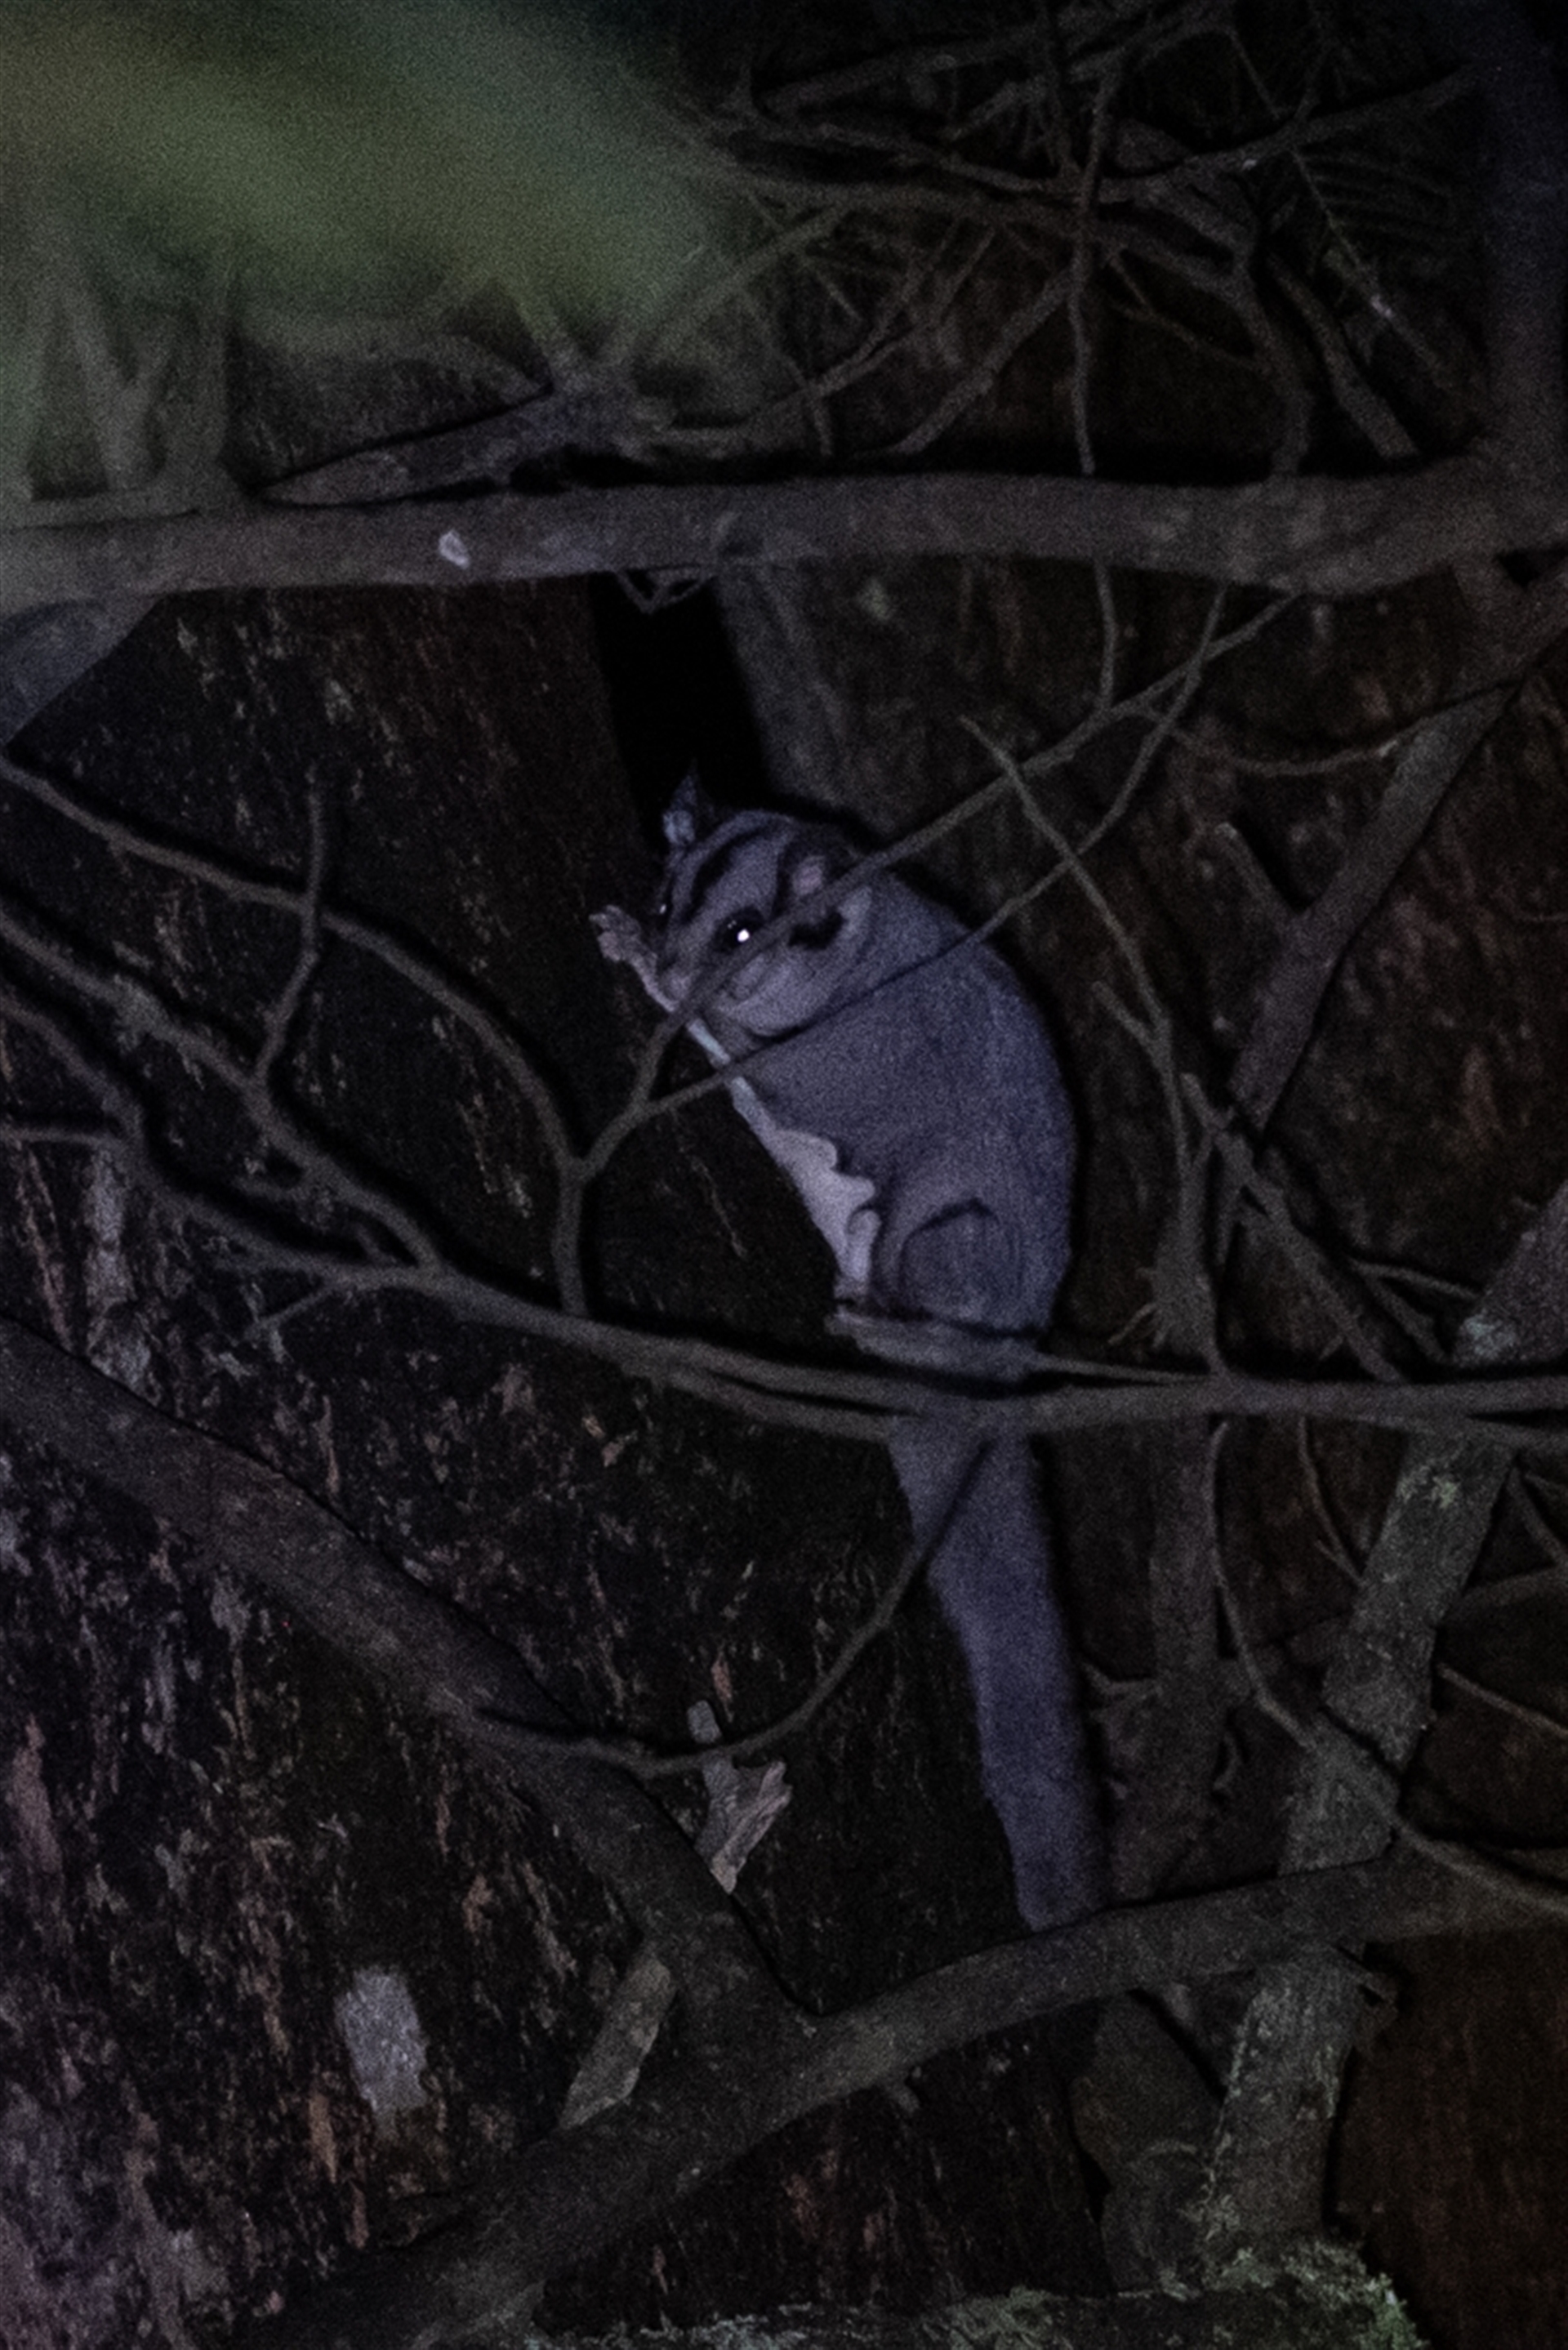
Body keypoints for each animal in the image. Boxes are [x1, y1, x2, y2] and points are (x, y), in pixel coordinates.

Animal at [593, 777, 1103, 1929]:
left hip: (957, 1252)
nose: (677, 959)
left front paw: (654, 984)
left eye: (742, 933)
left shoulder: (842, 1049)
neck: (855, 951)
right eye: (673, 897)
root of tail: (999, 1374)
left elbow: (761, 1058)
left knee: (935, 1233)